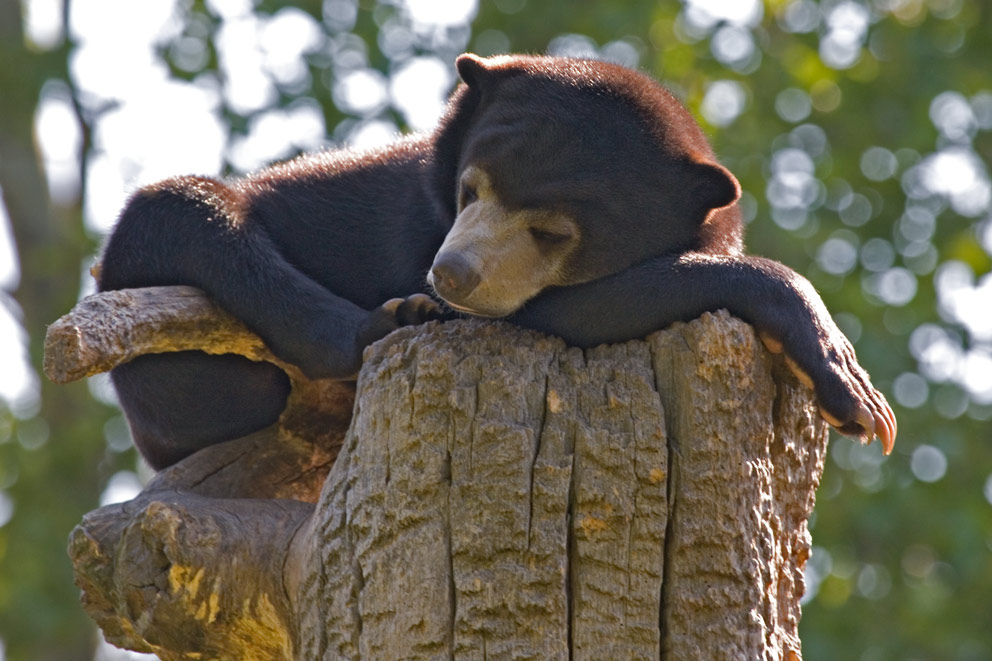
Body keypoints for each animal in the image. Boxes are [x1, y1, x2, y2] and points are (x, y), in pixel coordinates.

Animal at [97, 55, 896, 470]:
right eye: (470, 189)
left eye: (552, 231)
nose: (450, 274)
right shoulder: (399, 217)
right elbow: (559, 312)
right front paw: (861, 398)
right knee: (172, 206)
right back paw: (382, 322)